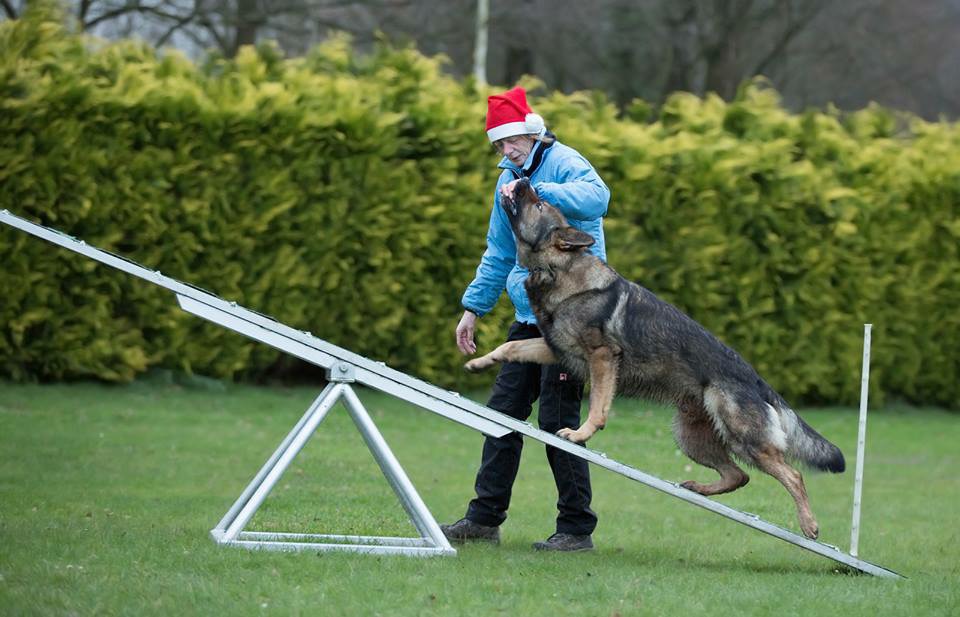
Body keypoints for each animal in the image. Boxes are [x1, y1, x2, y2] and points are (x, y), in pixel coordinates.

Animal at [465, 178, 845, 539]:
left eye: (540, 203)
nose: (524, 179)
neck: (560, 269)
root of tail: (757, 381)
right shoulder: (554, 348)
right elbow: (510, 349)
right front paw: (478, 362)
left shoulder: (602, 358)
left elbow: (598, 407)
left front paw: (580, 433)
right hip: (691, 438)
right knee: (738, 476)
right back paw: (699, 487)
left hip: (743, 438)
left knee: (792, 475)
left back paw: (809, 525)